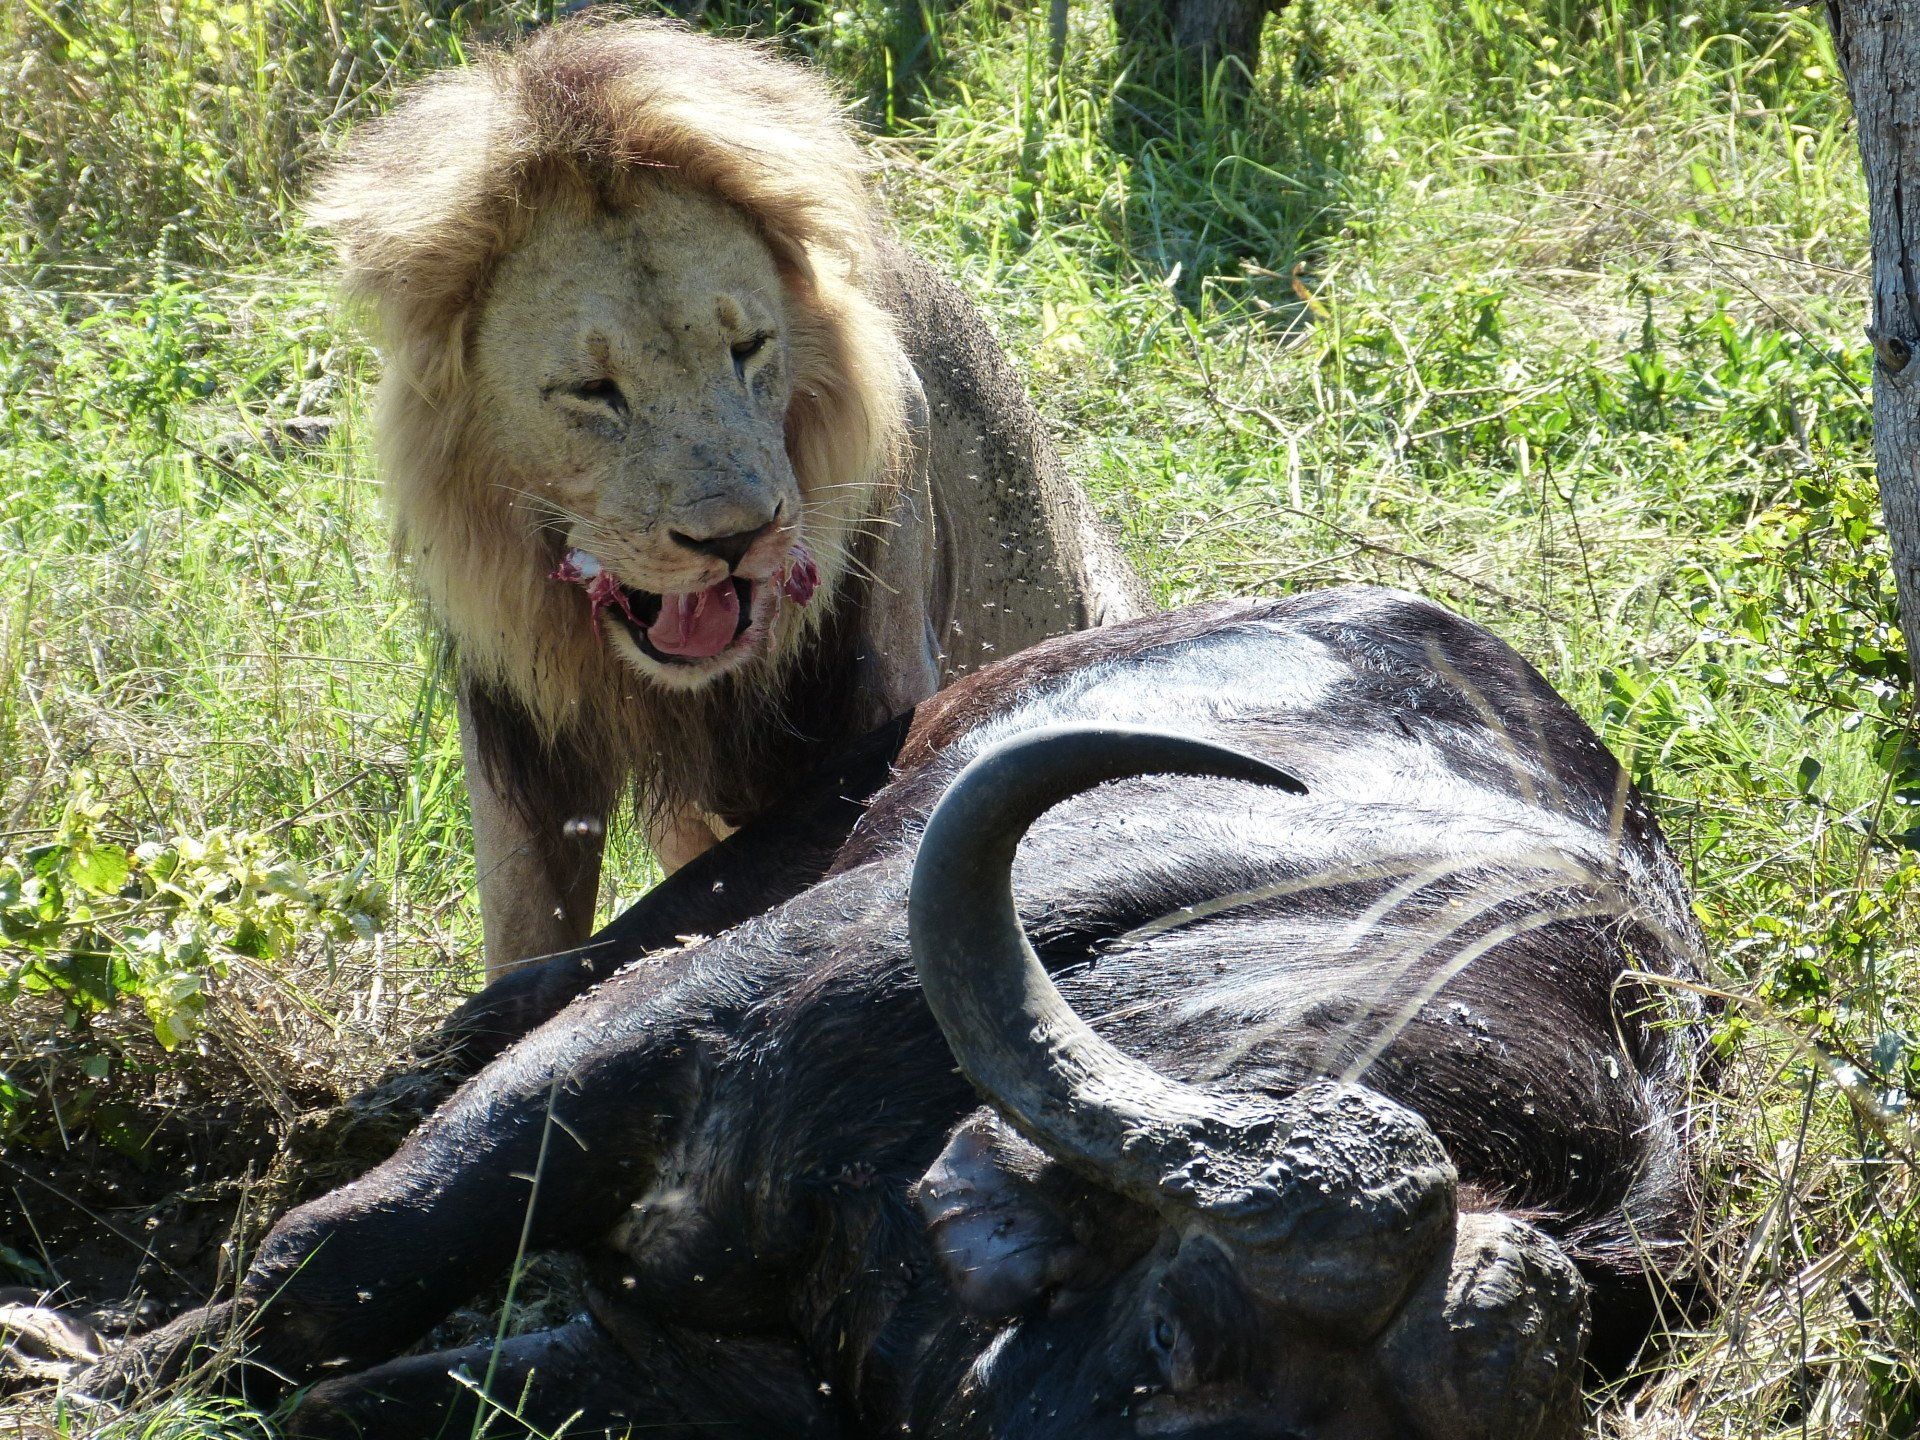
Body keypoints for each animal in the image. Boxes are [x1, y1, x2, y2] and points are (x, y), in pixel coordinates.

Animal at [310, 18, 1141, 977]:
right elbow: (526, 937)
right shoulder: (519, 741)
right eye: (593, 390)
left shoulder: (888, 686)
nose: (737, 538)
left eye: (749, 347)